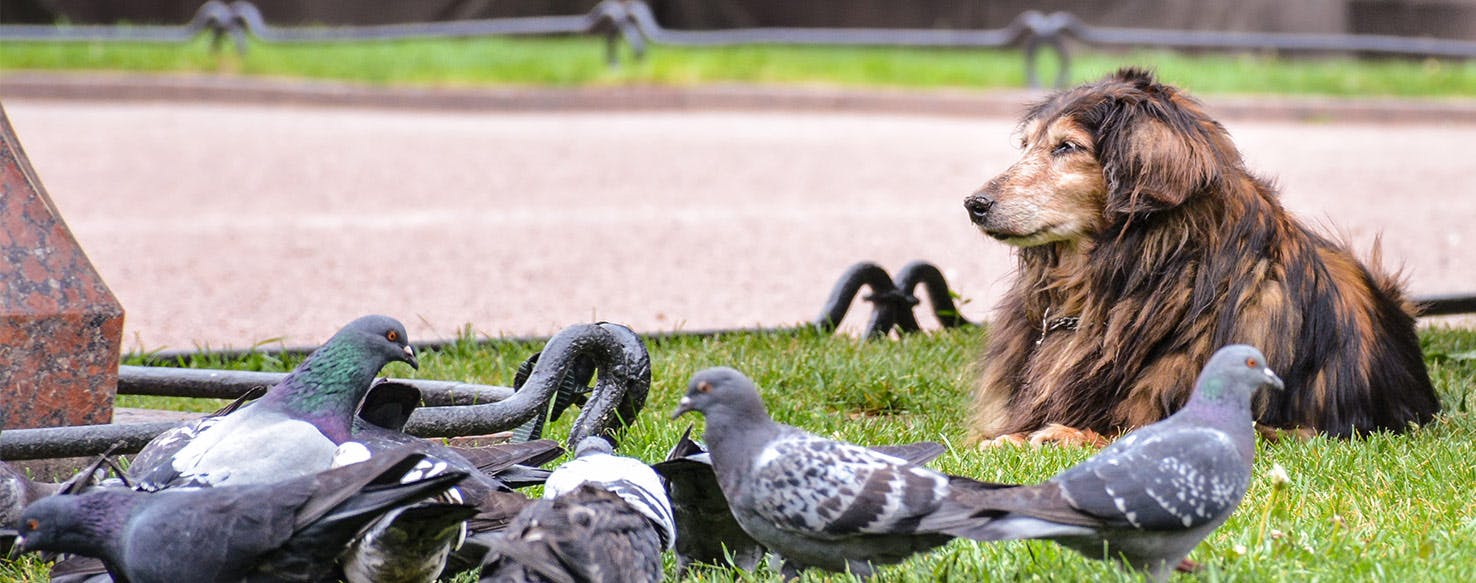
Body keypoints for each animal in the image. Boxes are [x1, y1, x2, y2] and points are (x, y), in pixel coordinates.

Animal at [962, 67, 1434, 448]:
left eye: (1066, 147)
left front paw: (1064, 434)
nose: (974, 203)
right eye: (1025, 145)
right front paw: (1009, 438)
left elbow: (1135, 430)